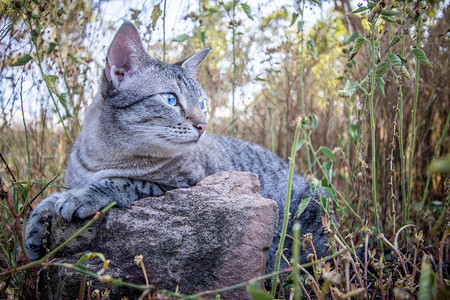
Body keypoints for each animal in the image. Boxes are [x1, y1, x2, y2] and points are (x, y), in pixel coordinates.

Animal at [24, 20, 326, 274]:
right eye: (170, 99)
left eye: (201, 103)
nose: (203, 125)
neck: (104, 156)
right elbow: (47, 201)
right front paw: (35, 230)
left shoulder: (180, 187)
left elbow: (120, 182)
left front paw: (81, 197)